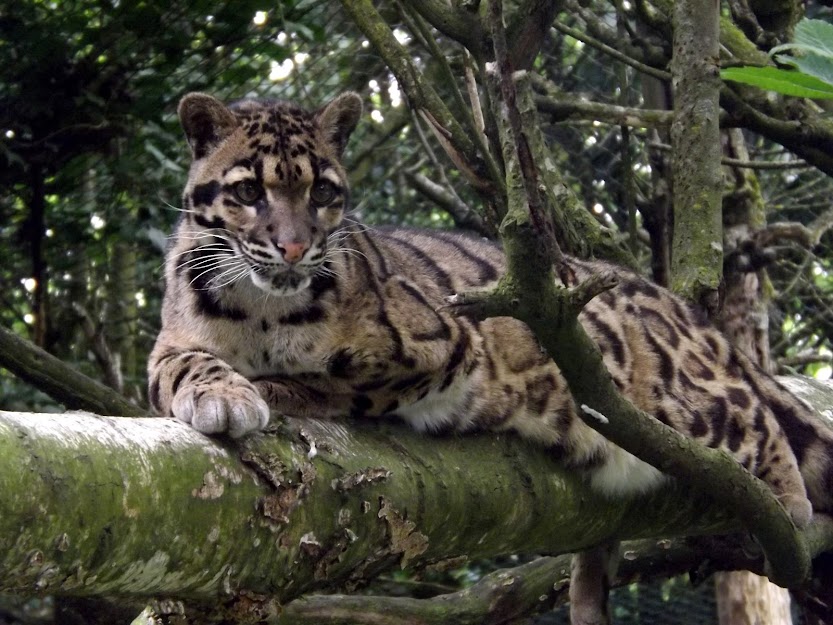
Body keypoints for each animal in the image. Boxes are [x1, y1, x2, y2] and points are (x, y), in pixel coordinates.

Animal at [148, 91, 832, 528]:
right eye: (247, 191)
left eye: (321, 190)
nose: (293, 246)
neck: (263, 303)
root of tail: (674, 303)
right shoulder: (170, 342)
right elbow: (180, 366)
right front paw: (222, 390)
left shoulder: (445, 339)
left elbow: (341, 382)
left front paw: (276, 388)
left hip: (680, 402)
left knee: (752, 414)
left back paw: (788, 498)